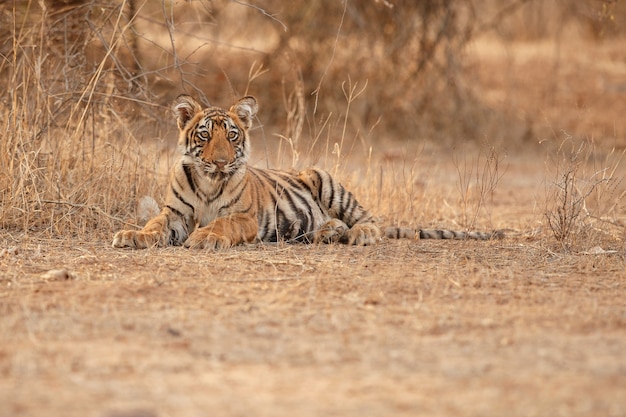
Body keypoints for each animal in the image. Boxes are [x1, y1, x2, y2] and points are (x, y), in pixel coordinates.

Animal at [112, 96, 500, 249]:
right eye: (205, 135)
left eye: (232, 135)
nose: (221, 162)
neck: (209, 182)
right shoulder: (175, 213)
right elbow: (154, 224)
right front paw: (133, 235)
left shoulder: (244, 217)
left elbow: (223, 223)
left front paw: (205, 237)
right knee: (332, 224)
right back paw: (327, 233)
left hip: (325, 180)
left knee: (369, 219)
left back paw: (358, 235)